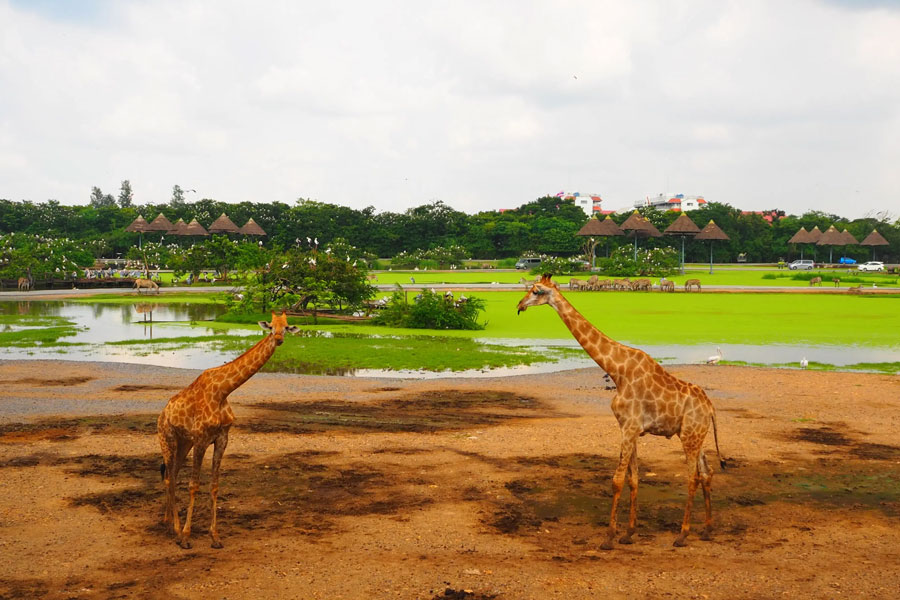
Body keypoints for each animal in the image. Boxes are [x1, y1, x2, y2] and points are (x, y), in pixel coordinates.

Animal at [160, 312, 300, 548]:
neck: (223, 391)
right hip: (167, 439)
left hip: (183, 443)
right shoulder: (201, 439)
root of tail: (162, 414)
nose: (279, 339)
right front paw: (187, 536)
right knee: (170, 477)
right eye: (271, 327)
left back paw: (168, 523)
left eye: (287, 327)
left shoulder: (222, 438)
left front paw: (215, 536)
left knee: (173, 475)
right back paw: (175, 530)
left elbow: (215, 485)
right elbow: (193, 485)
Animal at [516, 276, 720, 548]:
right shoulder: (630, 428)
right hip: (695, 435)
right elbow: (633, 479)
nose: (519, 305)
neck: (617, 370)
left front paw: (609, 536)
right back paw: (707, 530)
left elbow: (617, 480)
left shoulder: (629, 427)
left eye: (536, 291)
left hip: (689, 436)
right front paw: (628, 533)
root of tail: (710, 407)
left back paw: (682, 535)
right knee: (706, 473)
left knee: (692, 477)